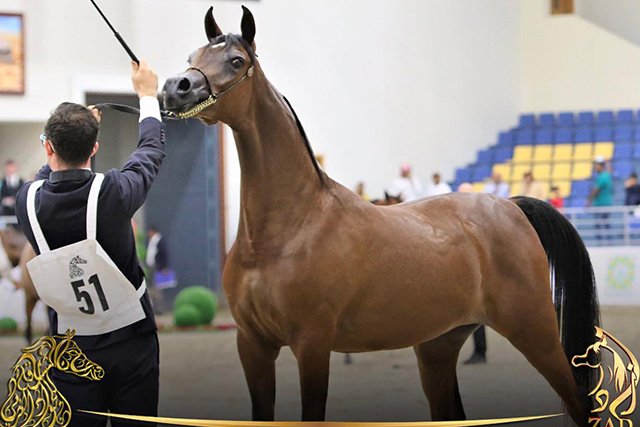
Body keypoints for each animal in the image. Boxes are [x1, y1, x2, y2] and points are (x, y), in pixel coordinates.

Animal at [162, 8, 600, 425]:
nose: (174, 89)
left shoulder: (312, 345)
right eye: (192, 57)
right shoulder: (252, 345)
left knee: (580, 403)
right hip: (438, 344)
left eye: (236, 61)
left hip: (536, 332)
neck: (288, 229)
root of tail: (510, 205)